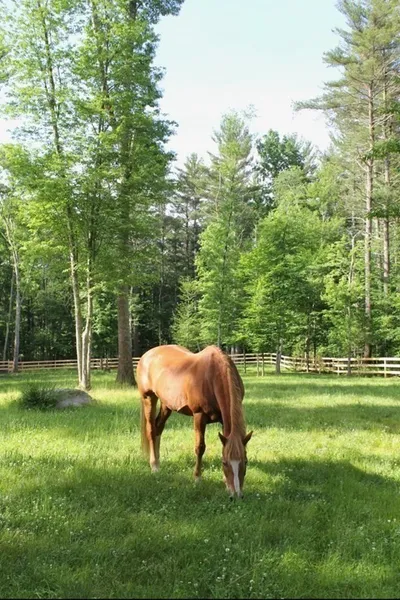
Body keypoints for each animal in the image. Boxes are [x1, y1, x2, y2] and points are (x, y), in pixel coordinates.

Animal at [136, 344, 252, 498]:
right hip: (148, 398)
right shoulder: (199, 416)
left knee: (158, 428)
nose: (236, 495)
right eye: (224, 463)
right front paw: (197, 478)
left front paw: (225, 483)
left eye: (245, 461)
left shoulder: (223, 419)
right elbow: (200, 447)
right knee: (151, 430)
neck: (212, 375)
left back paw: (158, 461)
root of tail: (145, 356)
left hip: (166, 404)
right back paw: (154, 465)